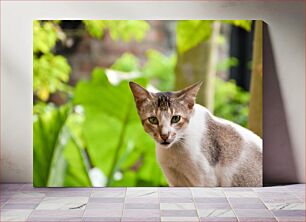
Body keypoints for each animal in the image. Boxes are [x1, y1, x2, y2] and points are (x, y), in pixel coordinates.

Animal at [128, 80, 262, 186]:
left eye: (175, 118)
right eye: (153, 120)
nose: (165, 135)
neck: (175, 151)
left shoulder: (205, 180)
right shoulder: (175, 181)